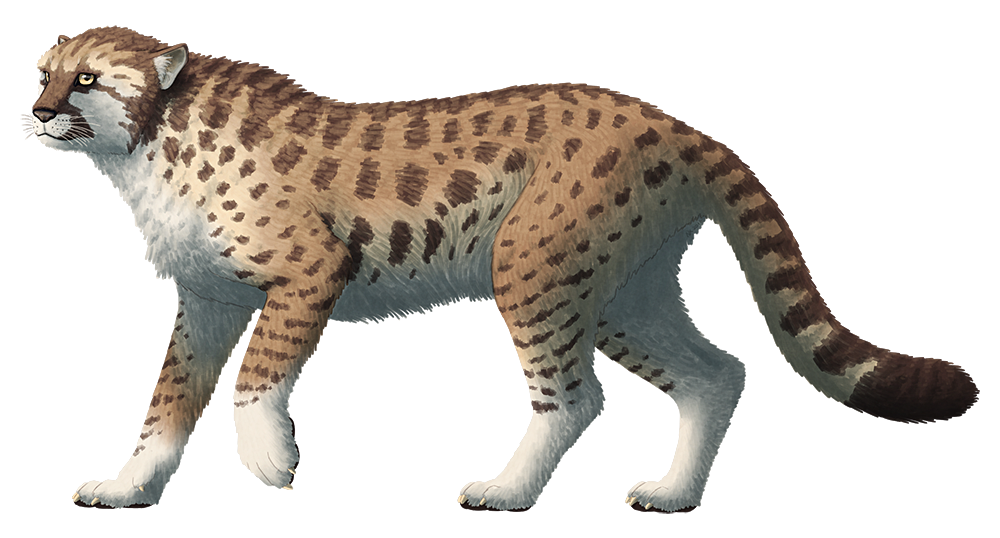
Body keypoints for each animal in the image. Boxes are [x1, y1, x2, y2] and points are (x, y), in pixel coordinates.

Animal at [24, 26, 979, 512]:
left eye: (87, 80)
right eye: (42, 74)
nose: (35, 113)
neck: (148, 137)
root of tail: (666, 114)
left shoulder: (308, 270)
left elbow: (257, 377)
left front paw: (269, 456)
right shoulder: (207, 301)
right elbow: (167, 403)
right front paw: (128, 485)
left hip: (532, 264)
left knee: (576, 397)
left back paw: (509, 491)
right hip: (622, 291)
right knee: (717, 373)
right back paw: (675, 493)